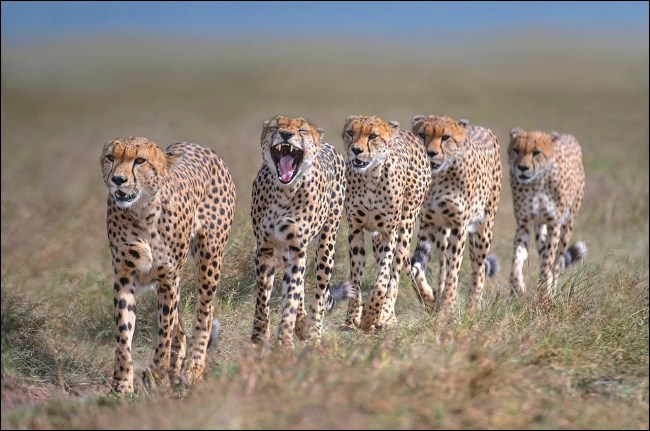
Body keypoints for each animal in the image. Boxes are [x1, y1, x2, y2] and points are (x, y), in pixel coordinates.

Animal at [100, 137, 235, 394]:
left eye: (139, 160)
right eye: (111, 157)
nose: (117, 179)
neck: (141, 210)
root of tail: (198, 145)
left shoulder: (168, 278)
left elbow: (163, 333)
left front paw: (156, 377)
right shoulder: (125, 275)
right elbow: (123, 332)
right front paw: (122, 384)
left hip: (209, 258)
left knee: (205, 311)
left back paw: (193, 367)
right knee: (179, 328)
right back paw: (176, 368)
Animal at [250, 116, 351, 348]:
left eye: (302, 130)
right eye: (276, 127)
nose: (286, 134)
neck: (284, 190)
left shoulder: (297, 248)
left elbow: (291, 299)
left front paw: (285, 343)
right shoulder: (265, 248)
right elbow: (263, 295)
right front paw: (259, 336)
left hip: (326, 244)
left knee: (319, 291)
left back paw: (313, 334)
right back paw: (302, 323)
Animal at [339, 115, 431, 333]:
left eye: (373, 136)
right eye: (350, 133)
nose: (356, 150)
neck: (371, 178)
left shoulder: (390, 232)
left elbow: (383, 279)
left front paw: (371, 314)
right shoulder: (355, 229)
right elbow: (356, 277)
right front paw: (353, 317)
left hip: (406, 225)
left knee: (395, 275)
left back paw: (387, 314)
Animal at [409, 115, 502, 318]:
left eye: (445, 137)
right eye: (422, 135)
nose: (430, 153)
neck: (438, 178)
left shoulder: (460, 227)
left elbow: (454, 271)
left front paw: (447, 307)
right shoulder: (428, 225)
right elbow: (416, 271)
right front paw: (429, 299)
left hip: (483, 229)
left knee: (479, 270)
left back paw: (472, 307)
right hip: (443, 232)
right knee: (443, 262)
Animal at [508, 128, 586, 296]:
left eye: (536, 152)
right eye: (516, 150)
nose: (522, 168)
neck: (537, 182)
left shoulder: (554, 224)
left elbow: (548, 258)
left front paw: (544, 291)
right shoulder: (524, 224)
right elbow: (517, 257)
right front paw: (517, 286)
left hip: (568, 225)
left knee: (557, 262)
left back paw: (553, 288)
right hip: (539, 226)